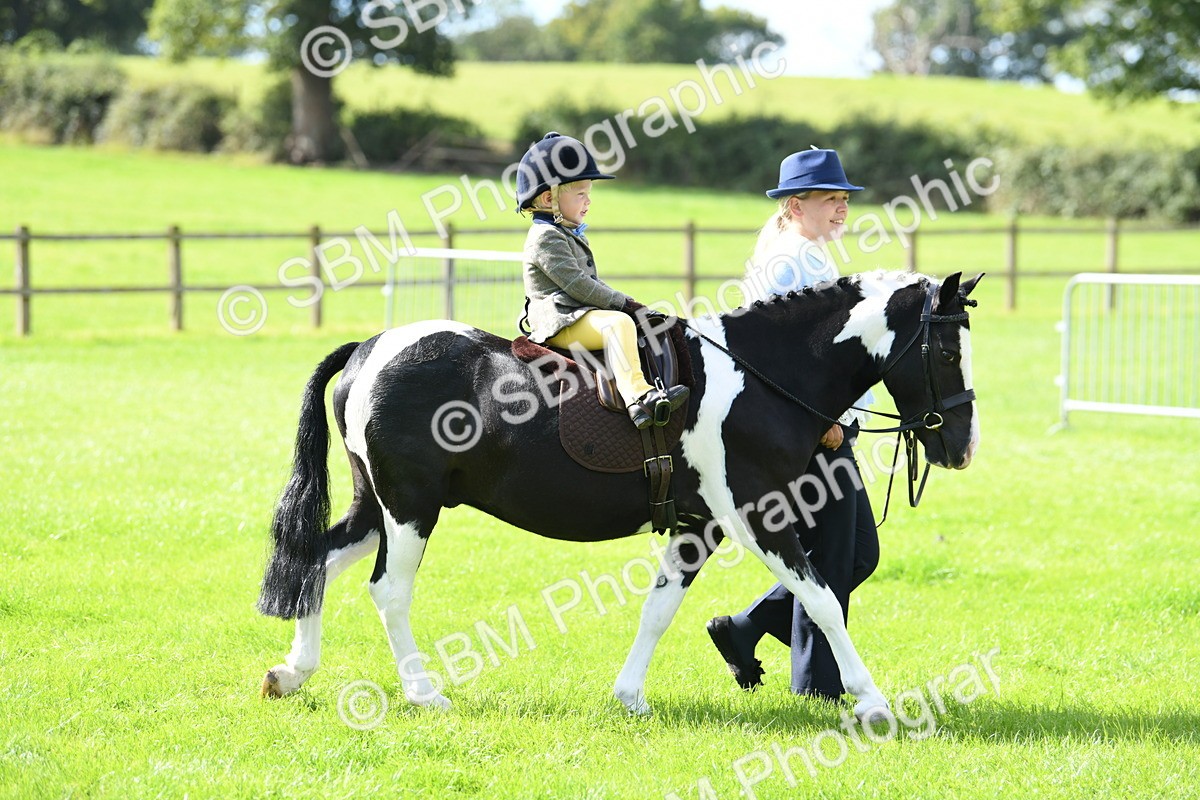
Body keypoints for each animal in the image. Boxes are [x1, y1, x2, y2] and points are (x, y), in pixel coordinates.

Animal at [257, 269, 982, 722]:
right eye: (947, 353)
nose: (962, 447)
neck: (759, 376)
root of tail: (370, 349)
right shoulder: (759, 516)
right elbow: (825, 602)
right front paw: (872, 701)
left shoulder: (699, 526)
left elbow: (659, 609)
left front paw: (630, 695)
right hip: (409, 510)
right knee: (388, 591)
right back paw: (422, 692)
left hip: (376, 509)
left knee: (317, 562)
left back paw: (291, 673)